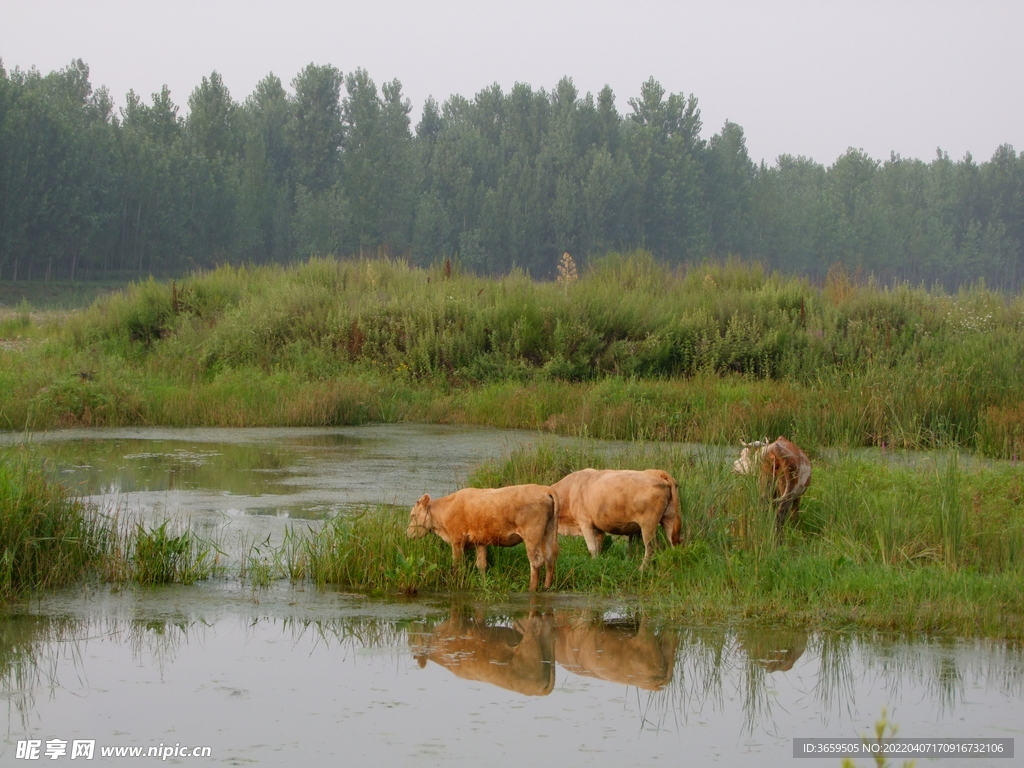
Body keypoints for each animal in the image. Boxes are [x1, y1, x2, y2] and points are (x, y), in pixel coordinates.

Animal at [403, 487, 557, 593]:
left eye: (413, 515)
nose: (407, 534)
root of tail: (546, 489)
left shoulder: (457, 540)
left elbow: (457, 564)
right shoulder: (481, 542)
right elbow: (481, 564)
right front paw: (484, 583)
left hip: (532, 536)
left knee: (536, 562)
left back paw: (532, 589)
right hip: (548, 533)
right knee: (550, 558)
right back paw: (547, 587)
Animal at [548, 466, 684, 569]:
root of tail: (658, 473)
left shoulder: (585, 522)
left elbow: (592, 548)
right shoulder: (598, 527)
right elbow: (598, 547)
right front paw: (597, 562)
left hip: (648, 525)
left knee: (651, 548)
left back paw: (641, 569)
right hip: (669, 518)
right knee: (674, 544)